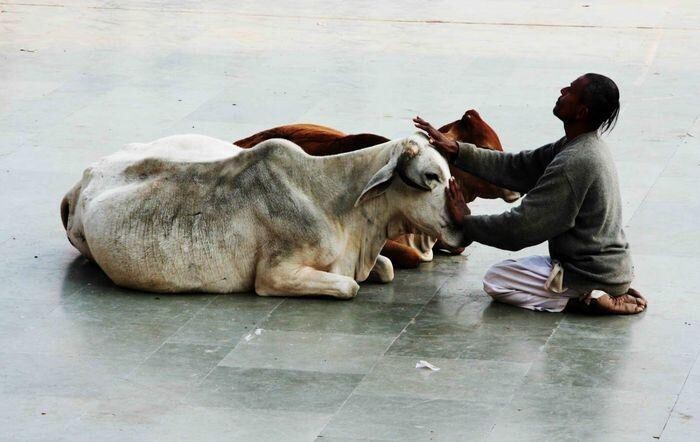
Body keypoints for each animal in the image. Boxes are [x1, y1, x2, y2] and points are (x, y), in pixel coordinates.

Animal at [61, 133, 464, 298]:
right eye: (431, 177)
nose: (462, 229)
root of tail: (82, 181)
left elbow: (387, 267)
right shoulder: (275, 274)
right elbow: (349, 287)